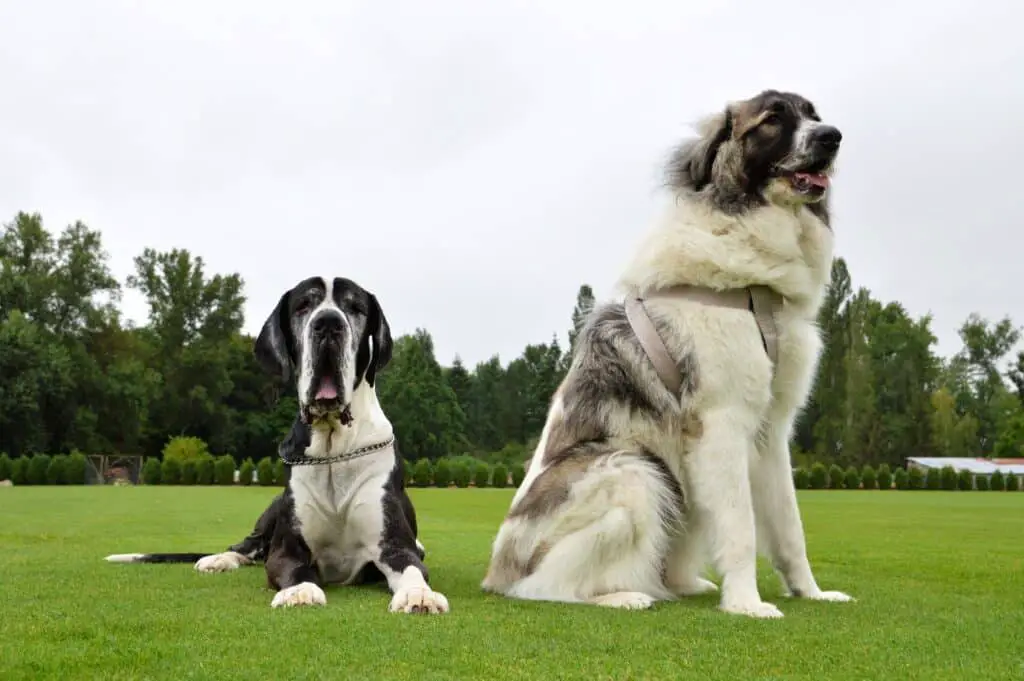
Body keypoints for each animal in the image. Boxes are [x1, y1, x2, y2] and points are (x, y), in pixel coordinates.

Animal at [104, 274, 452, 614]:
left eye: (355, 308)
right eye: (303, 306)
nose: (328, 323)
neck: (333, 447)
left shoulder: (395, 546)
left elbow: (412, 567)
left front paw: (419, 595)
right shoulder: (287, 549)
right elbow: (294, 568)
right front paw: (300, 590)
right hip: (273, 508)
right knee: (247, 546)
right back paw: (219, 559)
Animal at [483, 89, 851, 614]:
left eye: (814, 116)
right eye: (773, 119)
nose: (832, 137)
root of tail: (497, 572)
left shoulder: (771, 433)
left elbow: (789, 527)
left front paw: (811, 592)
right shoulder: (722, 423)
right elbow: (741, 527)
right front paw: (747, 604)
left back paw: (682, 585)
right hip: (633, 470)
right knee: (540, 587)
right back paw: (623, 596)